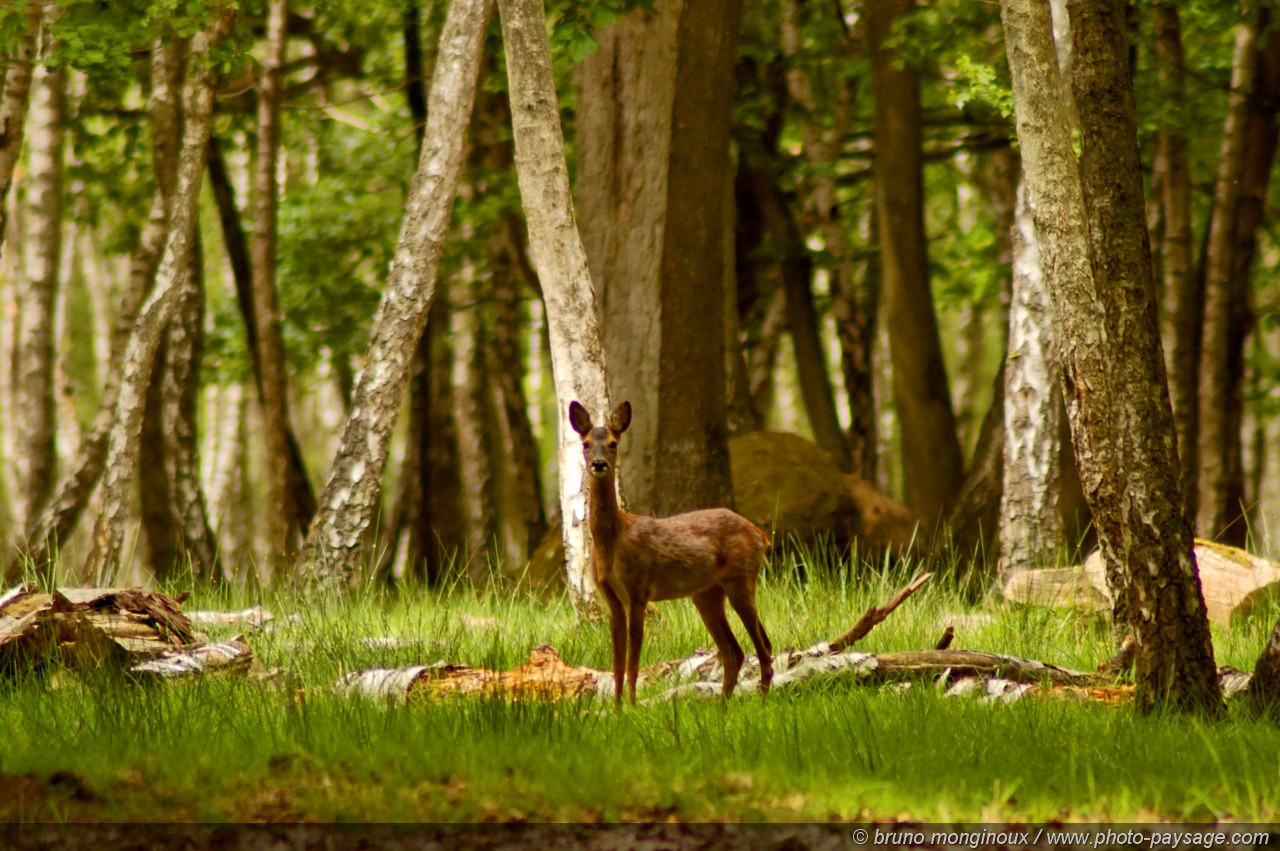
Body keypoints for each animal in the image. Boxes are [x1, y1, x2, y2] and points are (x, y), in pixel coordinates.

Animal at [573, 399, 773, 701]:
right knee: (734, 652)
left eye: (613, 443)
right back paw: (722, 705)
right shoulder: (611, 599)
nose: (599, 464)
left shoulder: (638, 590)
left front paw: (632, 705)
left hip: (741, 578)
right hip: (706, 595)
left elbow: (633, 663)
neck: (613, 540)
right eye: (585, 444)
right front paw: (616, 706)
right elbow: (617, 664)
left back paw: (760, 700)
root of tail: (759, 534)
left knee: (763, 648)